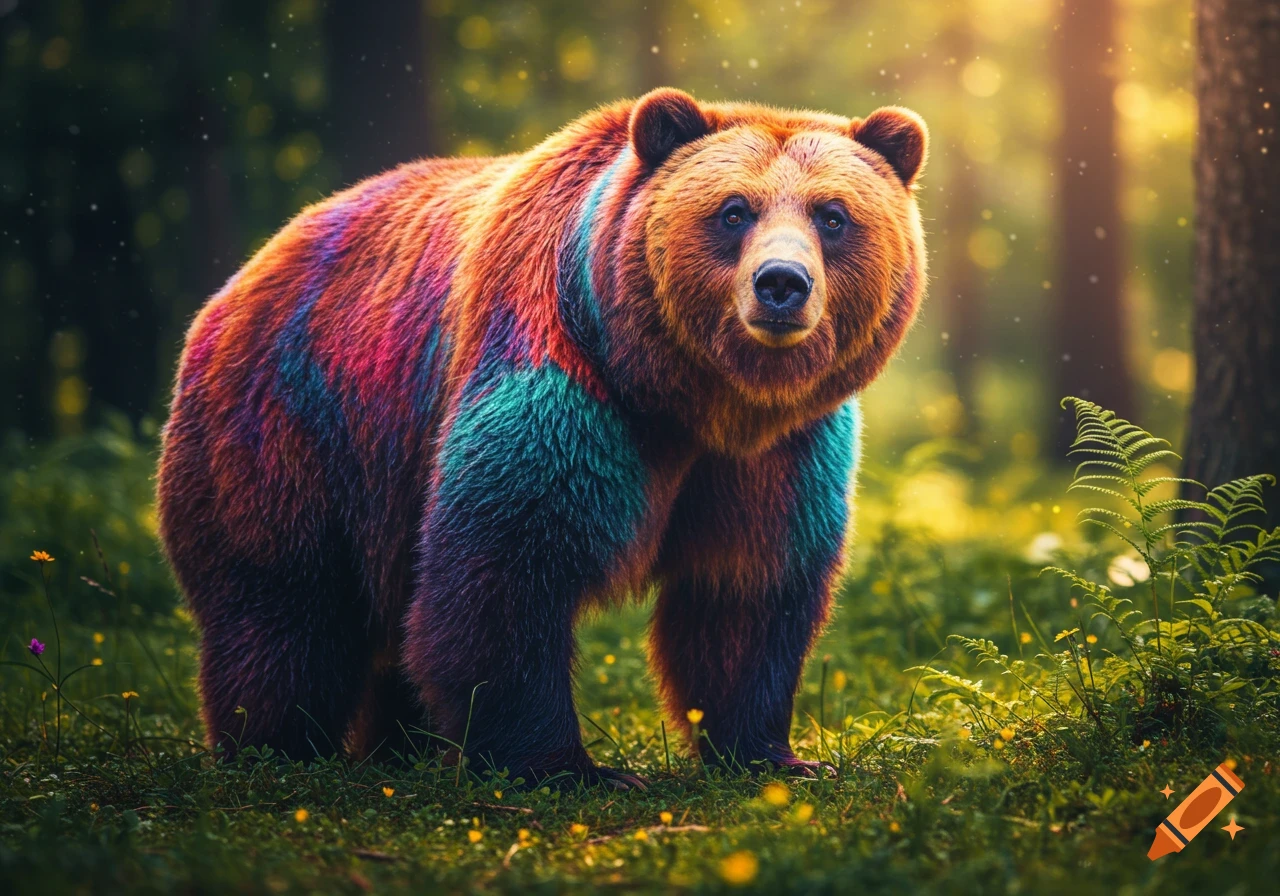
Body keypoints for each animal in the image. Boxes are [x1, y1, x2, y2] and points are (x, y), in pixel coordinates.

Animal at [156, 88, 927, 786]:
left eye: (833, 215)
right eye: (733, 211)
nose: (781, 284)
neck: (690, 399)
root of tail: (250, 269)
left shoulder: (778, 453)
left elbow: (748, 587)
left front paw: (776, 754)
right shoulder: (560, 377)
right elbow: (508, 564)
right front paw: (570, 768)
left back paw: (400, 751)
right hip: (297, 420)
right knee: (284, 605)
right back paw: (277, 747)